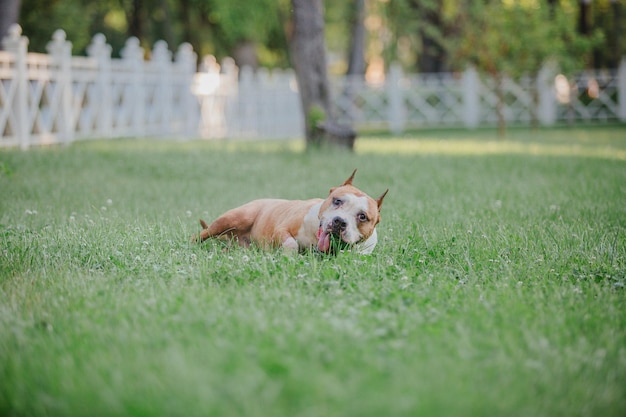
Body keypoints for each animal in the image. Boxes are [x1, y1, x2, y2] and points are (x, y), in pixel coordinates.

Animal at [191, 170, 386, 254]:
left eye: (362, 216)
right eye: (337, 201)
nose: (339, 222)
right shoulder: (282, 229)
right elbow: (291, 243)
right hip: (235, 218)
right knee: (202, 233)